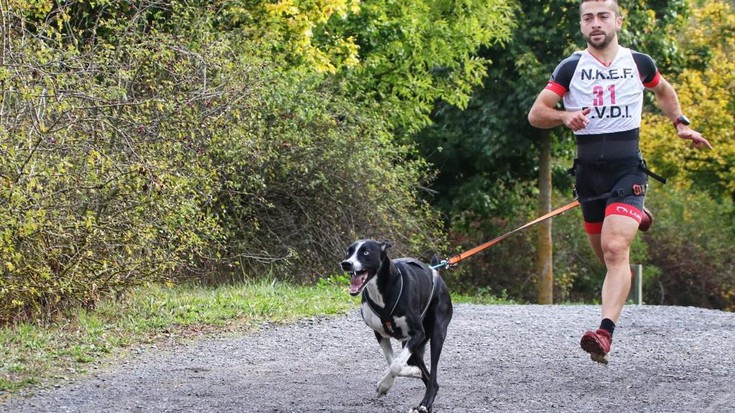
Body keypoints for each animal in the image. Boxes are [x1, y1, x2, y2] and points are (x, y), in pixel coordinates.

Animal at [340, 238, 454, 412]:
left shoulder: (417, 333)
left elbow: (396, 365)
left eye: (365, 252)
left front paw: (384, 385)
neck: (381, 292)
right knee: (428, 377)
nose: (346, 264)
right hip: (414, 349)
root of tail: (436, 273)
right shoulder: (380, 334)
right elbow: (393, 362)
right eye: (349, 251)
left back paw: (424, 404)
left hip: (436, 335)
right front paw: (412, 372)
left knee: (433, 378)